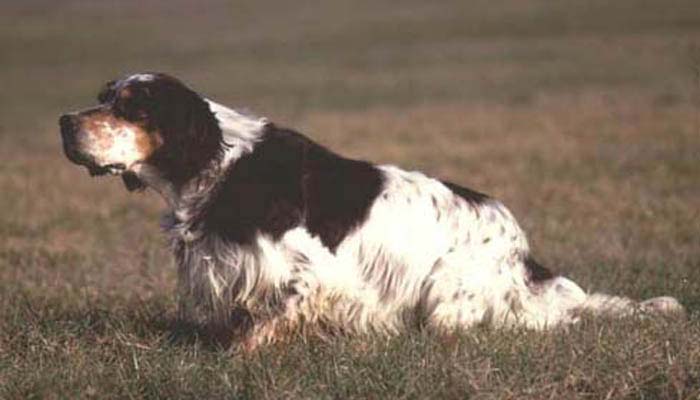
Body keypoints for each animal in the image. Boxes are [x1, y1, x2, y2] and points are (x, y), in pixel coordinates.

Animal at [60, 73, 684, 348]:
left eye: (131, 106)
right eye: (102, 97)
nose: (65, 122)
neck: (219, 163)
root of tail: (523, 257)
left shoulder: (306, 271)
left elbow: (261, 328)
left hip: (449, 301)